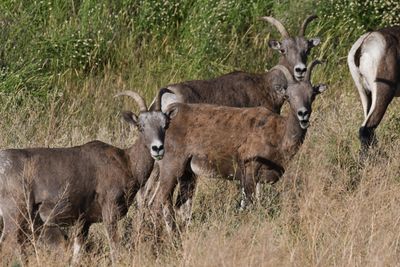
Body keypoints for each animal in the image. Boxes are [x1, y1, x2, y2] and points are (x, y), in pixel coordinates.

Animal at [152, 59, 326, 231]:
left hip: (187, 174)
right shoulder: (250, 171)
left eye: (312, 94)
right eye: (288, 96)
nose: (303, 114)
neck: (280, 134)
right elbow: (246, 205)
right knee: (159, 202)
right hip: (172, 168)